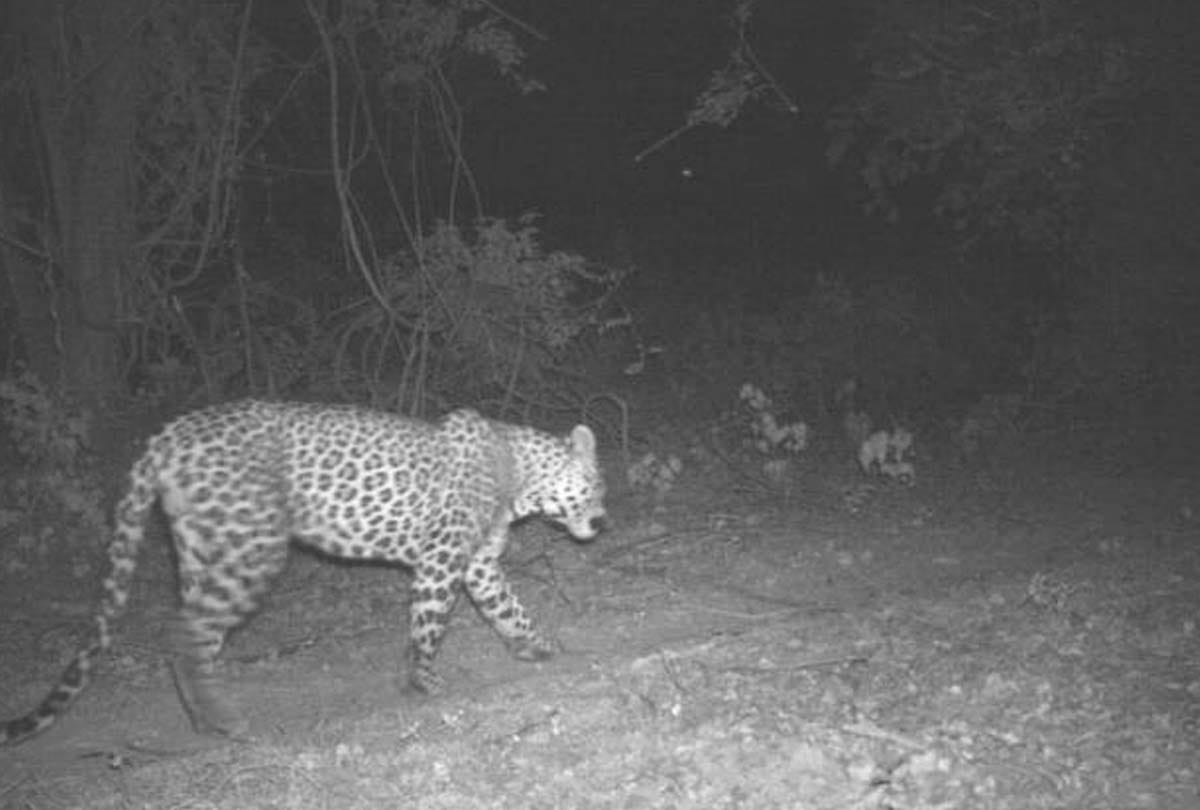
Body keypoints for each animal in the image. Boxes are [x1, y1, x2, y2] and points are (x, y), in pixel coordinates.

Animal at [2, 399, 606, 744]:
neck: (520, 475)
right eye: (597, 485)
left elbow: (508, 607)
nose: (603, 520)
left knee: (190, 633)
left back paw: (206, 720)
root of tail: (166, 436)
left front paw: (536, 646)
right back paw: (223, 720)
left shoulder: (477, 563)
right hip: (254, 547)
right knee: (184, 628)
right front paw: (422, 681)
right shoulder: (443, 559)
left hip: (201, 548)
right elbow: (429, 623)